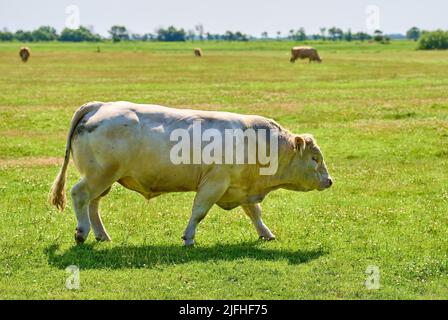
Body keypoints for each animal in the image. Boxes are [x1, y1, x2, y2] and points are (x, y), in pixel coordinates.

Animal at [50, 101, 332, 246]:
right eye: (314, 158)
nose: (329, 180)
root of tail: (100, 106)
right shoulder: (214, 183)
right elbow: (199, 212)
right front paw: (188, 237)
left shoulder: (240, 187)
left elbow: (255, 213)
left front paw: (266, 233)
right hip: (99, 175)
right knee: (80, 195)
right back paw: (82, 232)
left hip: (104, 179)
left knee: (93, 204)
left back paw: (101, 234)